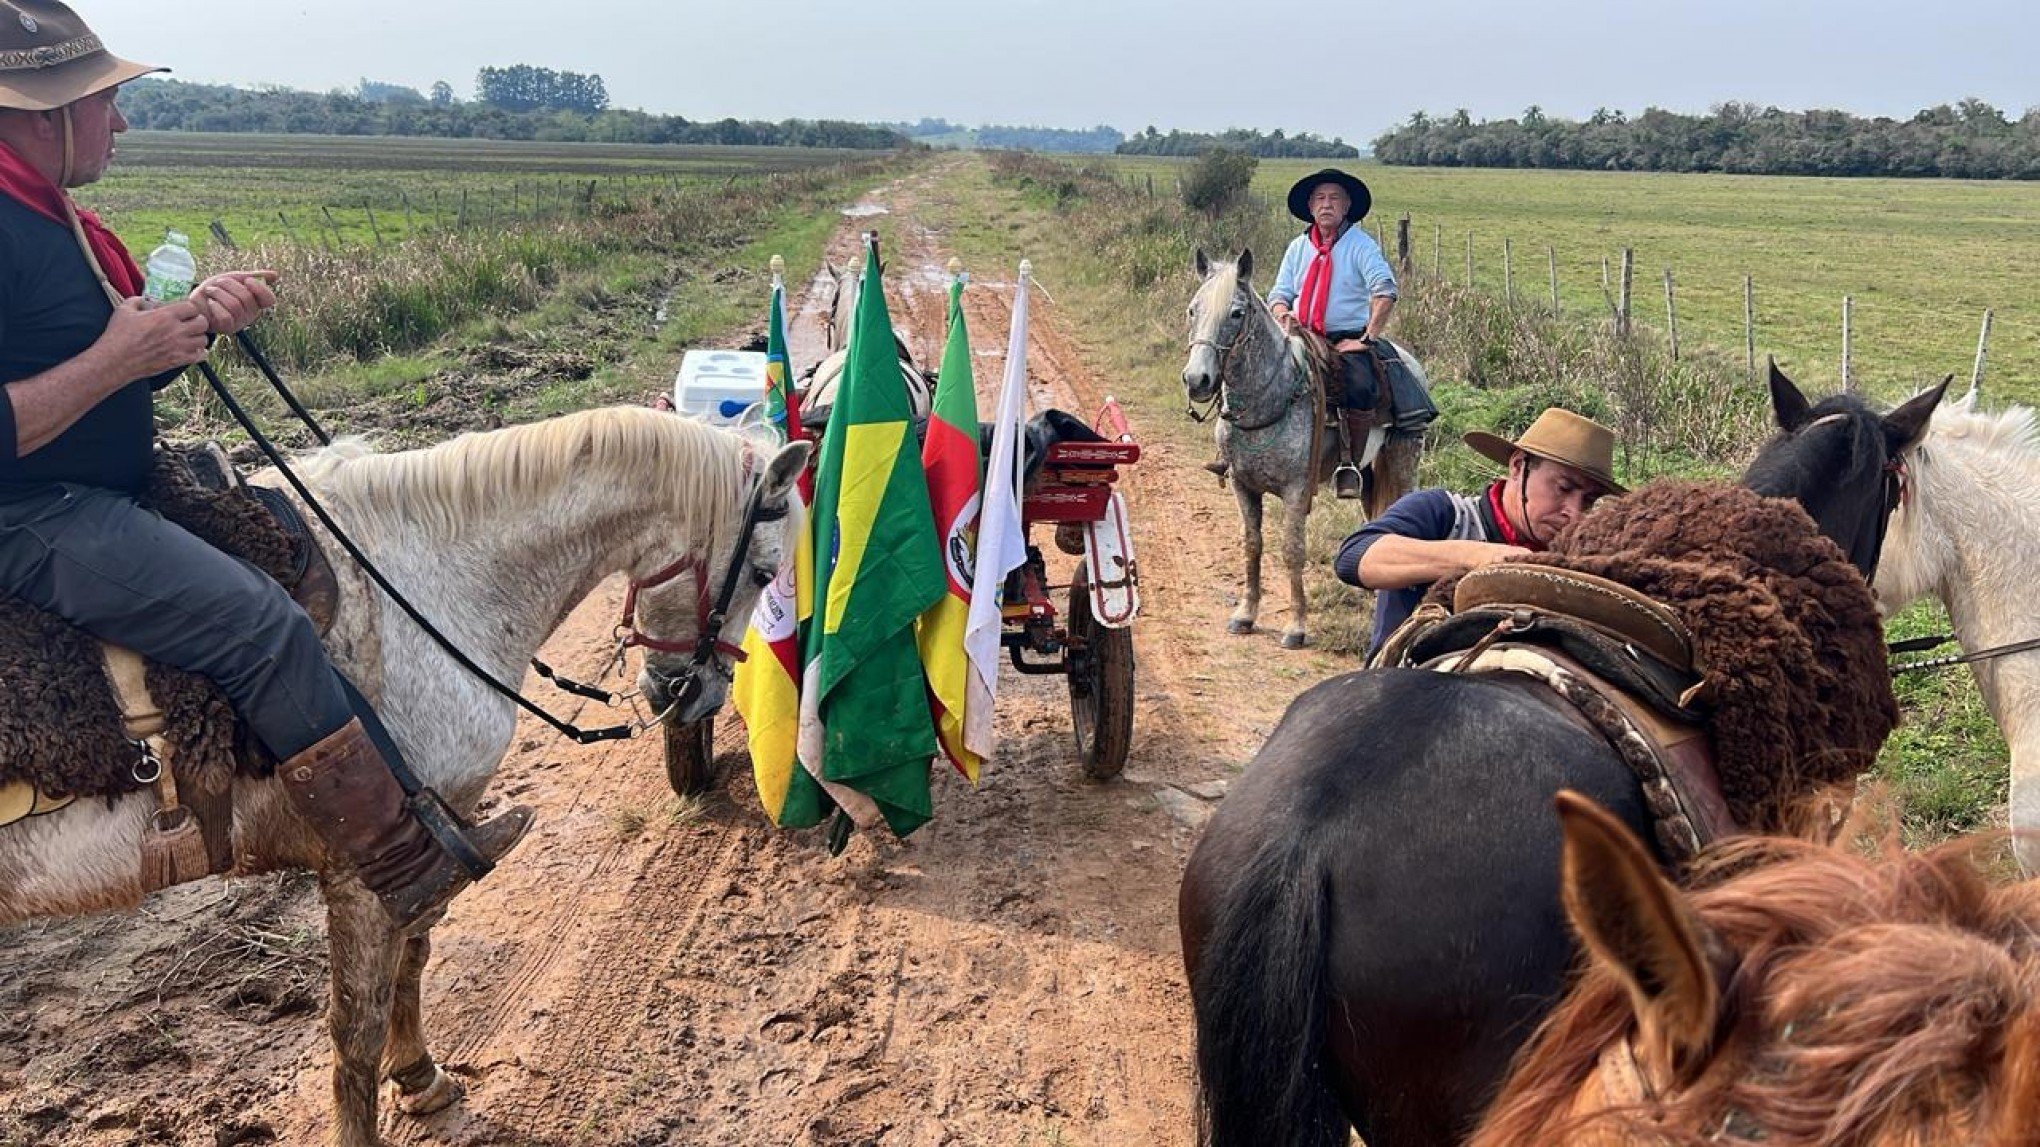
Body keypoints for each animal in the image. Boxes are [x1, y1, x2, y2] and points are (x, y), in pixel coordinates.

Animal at [0, 406, 811, 1134]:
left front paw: (420, 1077)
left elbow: (412, 958)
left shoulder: (430, 839)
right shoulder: (361, 869)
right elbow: (355, 1025)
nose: (699, 695)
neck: (420, 581)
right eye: (765, 570)